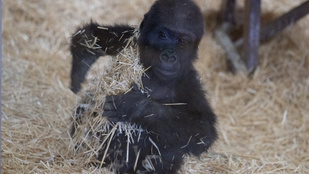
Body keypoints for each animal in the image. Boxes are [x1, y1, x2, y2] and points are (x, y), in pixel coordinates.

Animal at [71, 0, 218, 173]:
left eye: (182, 41)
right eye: (163, 35)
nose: (169, 56)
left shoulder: (188, 83)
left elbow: (202, 130)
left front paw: (134, 106)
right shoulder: (129, 38)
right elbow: (93, 36)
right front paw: (82, 62)